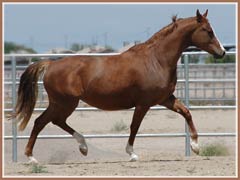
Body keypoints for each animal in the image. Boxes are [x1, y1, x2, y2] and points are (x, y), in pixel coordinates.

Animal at [14, 9, 225, 162]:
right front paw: (132, 154)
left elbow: (187, 112)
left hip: (63, 103)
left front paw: (196, 147)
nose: (222, 52)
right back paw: (32, 158)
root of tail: (51, 64)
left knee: (52, 121)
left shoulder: (165, 99)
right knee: (43, 122)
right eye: (208, 31)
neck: (156, 60)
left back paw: (82, 147)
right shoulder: (143, 104)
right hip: (65, 102)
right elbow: (134, 126)